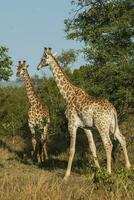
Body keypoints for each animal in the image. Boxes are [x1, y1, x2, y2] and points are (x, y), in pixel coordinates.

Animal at [36, 48, 131, 180]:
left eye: (42, 58)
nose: (38, 67)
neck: (68, 96)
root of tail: (113, 110)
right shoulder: (86, 127)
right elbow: (92, 148)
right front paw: (97, 171)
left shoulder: (72, 125)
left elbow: (72, 149)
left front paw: (66, 175)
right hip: (112, 125)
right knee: (122, 139)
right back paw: (128, 167)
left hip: (102, 126)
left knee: (108, 144)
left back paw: (109, 172)